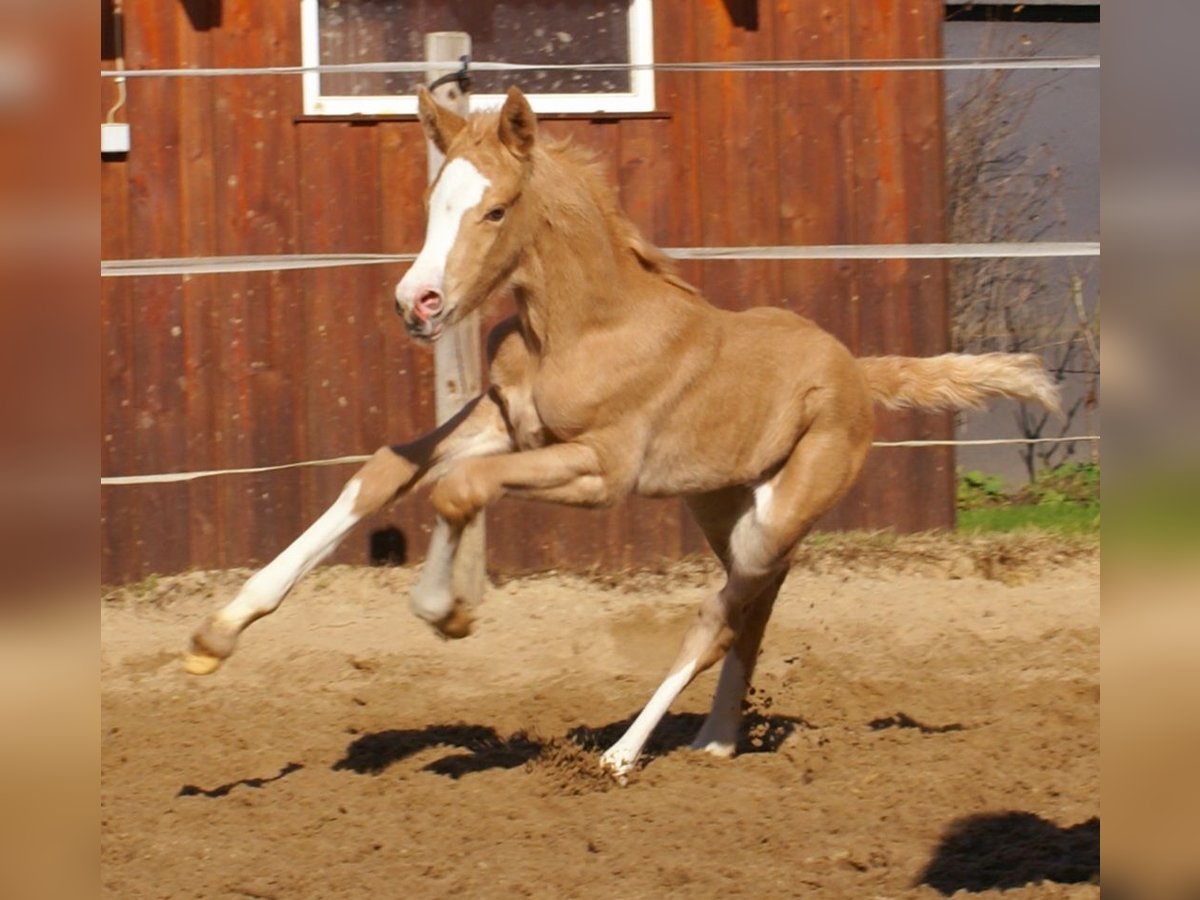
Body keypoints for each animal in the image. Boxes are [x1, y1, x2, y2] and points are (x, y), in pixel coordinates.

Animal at [182, 90, 1056, 782]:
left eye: (495, 209)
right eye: (434, 201)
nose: (417, 303)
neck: (582, 328)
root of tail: (858, 371)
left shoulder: (601, 473)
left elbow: (458, 490)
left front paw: (447, 612)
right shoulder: (502, 420)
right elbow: (387, 471)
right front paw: (217, 635)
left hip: (781, 514)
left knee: (714, 620)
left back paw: (624, 755)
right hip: (726, 510)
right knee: (753, 610)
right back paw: (715, 741)